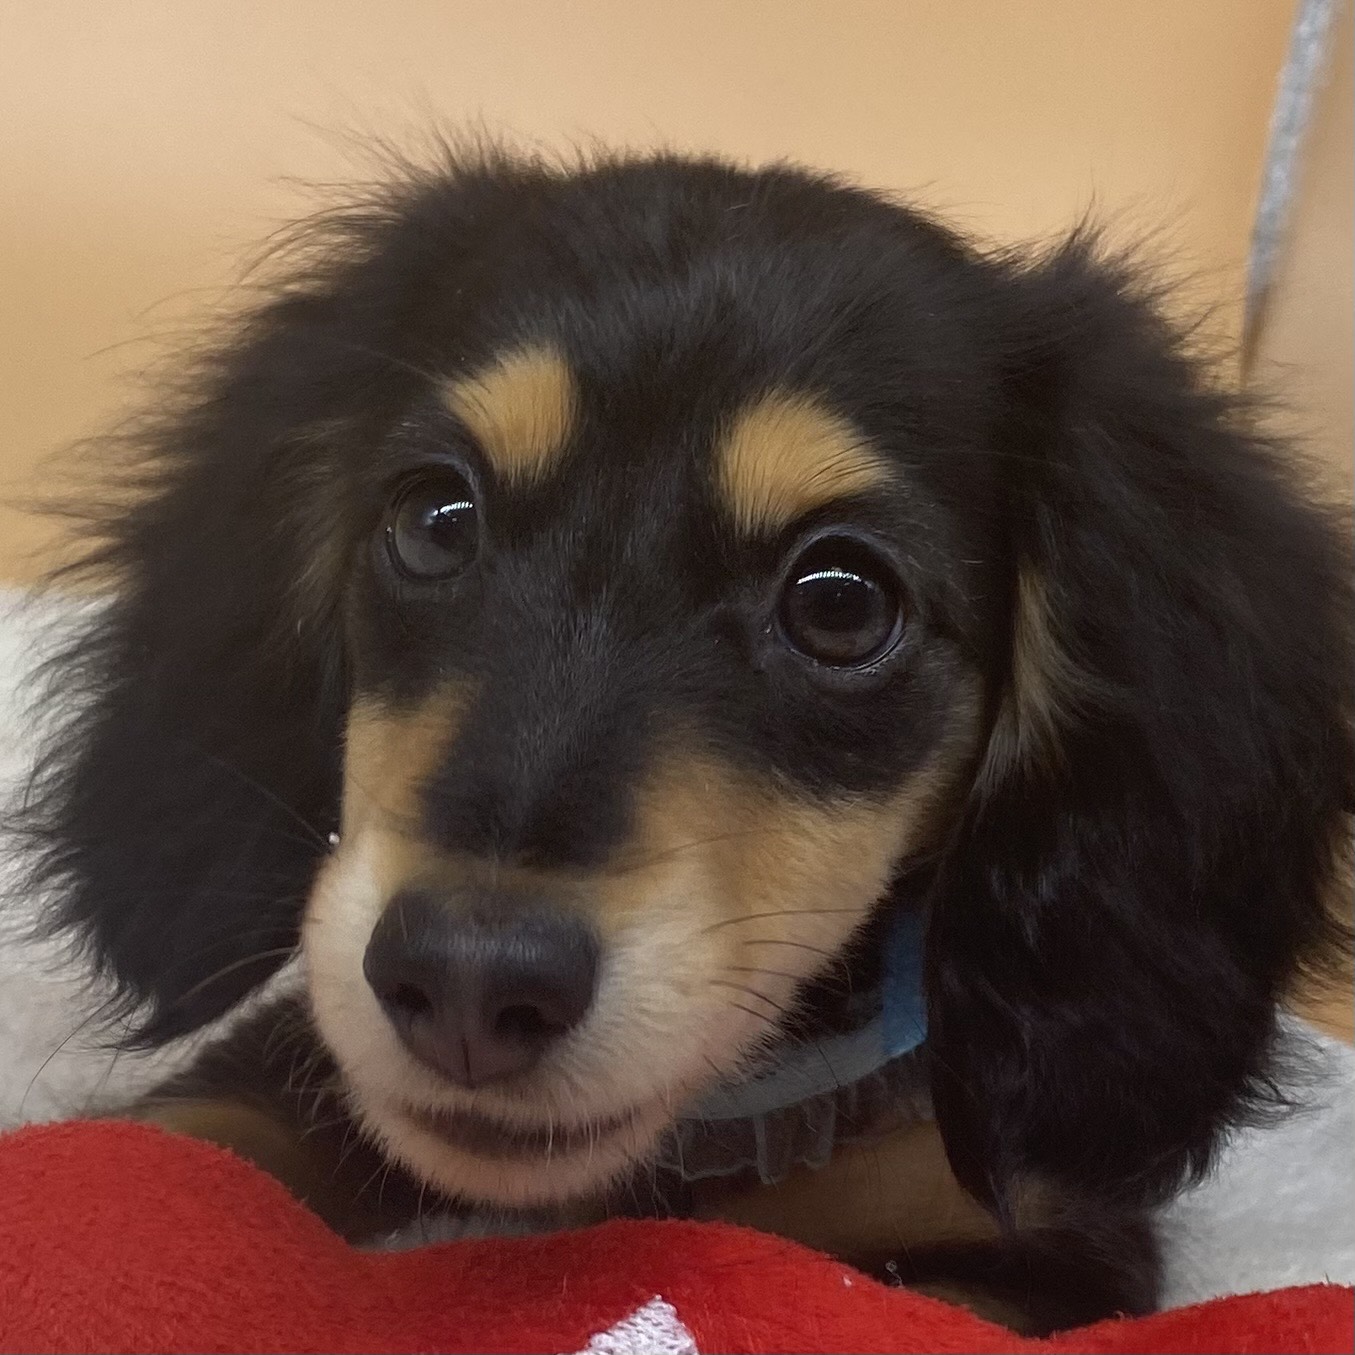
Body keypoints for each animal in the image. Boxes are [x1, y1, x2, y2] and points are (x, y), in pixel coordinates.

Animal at [15, 146, 1352, 1334]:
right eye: (434, 517)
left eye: (840, 601)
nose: (466, 976)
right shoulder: (297, 1055)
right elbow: (180, 1145)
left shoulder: (1041, 1246)